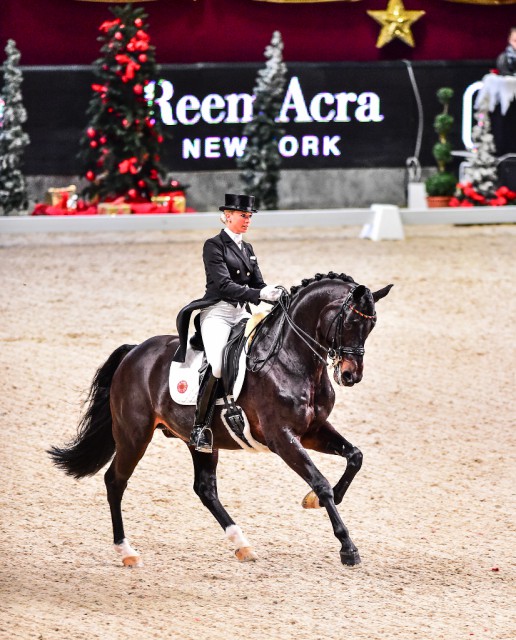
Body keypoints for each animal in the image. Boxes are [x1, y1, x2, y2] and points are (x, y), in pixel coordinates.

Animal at [50, 272, 394, 568]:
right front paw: (347, 547)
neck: (290, 360)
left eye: (373, 324)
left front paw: (318, 501)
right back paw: (127, 551)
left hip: (199, 441)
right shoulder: (282, 437)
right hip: (133, 435)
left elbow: (355, 456)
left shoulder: (312, 430)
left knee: (205, 488)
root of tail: (134, 352)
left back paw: (242, 544)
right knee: (115, 481)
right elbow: (320, 481)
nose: (350, 375)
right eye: (351, 321)